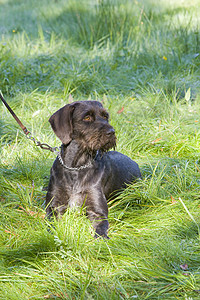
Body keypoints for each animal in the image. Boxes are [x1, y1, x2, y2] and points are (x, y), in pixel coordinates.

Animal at [46, 100, 141, 237]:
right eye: (87, 117)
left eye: (105, 116)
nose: (112, 132)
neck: (76, 166)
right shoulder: (54, 206)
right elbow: (51, 224)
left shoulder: (98, 212)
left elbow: (100, 230)